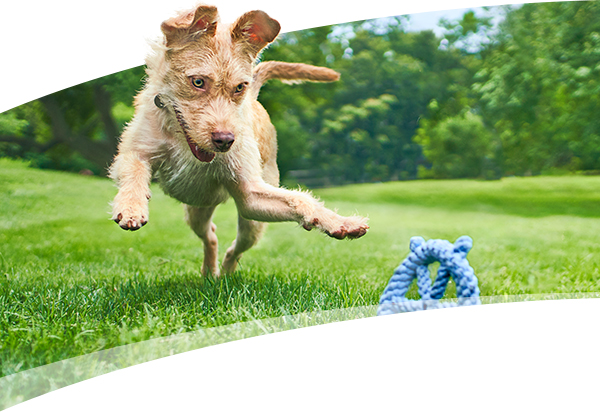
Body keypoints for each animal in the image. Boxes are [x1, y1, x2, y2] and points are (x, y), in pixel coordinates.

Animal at [109, 4, 368, 276]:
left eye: (240, 87)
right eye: (198, 82)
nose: (225, 140)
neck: (181, 140)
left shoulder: (250, 195)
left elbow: (300, 199)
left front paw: (339, 222)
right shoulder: (133, 152)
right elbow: (134, 171)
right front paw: (131, 207)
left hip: (250, 223)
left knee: (234, 248)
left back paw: (224, 275)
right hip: (196, 211)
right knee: (210, 235)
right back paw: (209, 273)